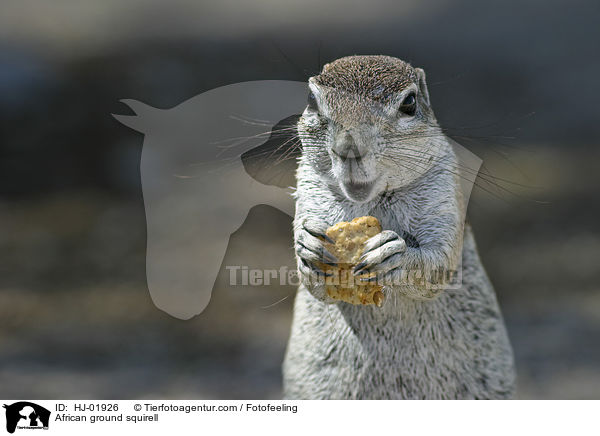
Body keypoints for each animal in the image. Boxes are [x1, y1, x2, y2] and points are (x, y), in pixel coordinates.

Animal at [282, 56, 516, 400]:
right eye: (312, 99)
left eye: (409, 103)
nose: (348, 148)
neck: (373, 199)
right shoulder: (308, 186)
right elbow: (312, 281)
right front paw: (308, 249)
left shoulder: (444, 193)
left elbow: (439, 263)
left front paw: (394, 255)